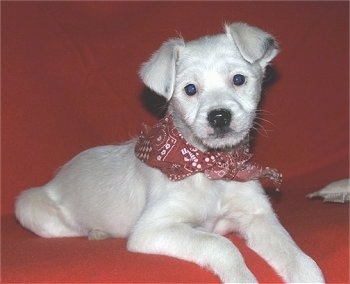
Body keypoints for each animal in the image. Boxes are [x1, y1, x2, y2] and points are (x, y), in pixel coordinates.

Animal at [15, 23, 324, 282]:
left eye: (239, 79)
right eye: (190, 89)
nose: (219, 116)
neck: (210, 167)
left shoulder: (258, 217)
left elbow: (297, 256)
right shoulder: (153, 229)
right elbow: (221, 244)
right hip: (30, 206)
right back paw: (97, 231)